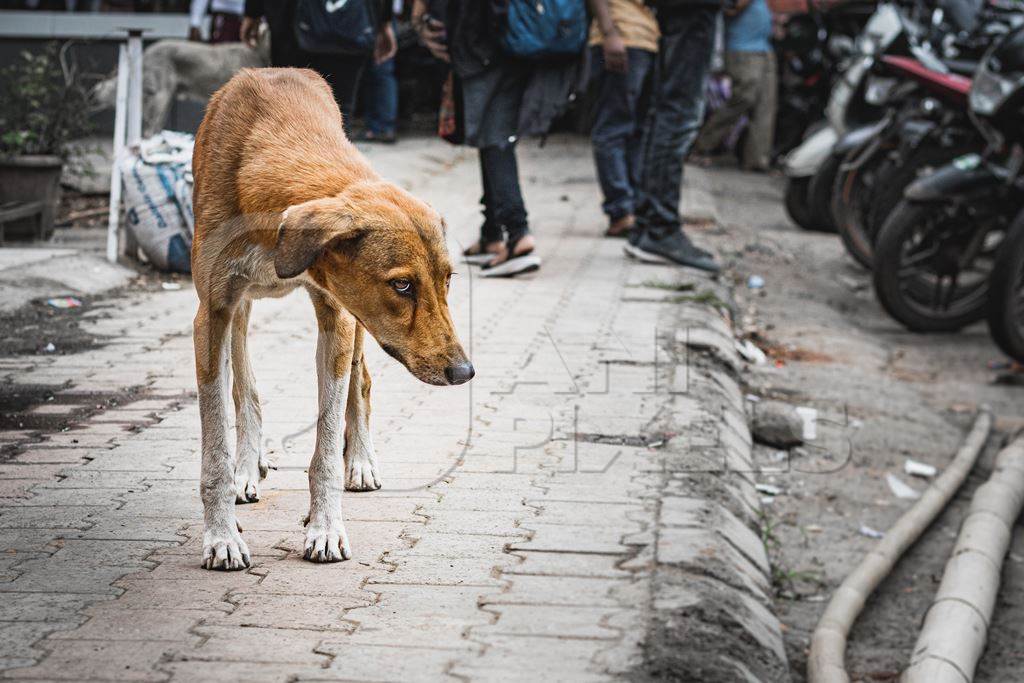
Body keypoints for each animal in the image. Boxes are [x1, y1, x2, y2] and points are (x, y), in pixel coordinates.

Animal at [191, 69, 471, 573]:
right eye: (403, 285)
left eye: (448, 280)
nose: (465, 372)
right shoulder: (213, 314)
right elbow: (216, 445)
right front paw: (221, 536)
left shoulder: (336, 313)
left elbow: (325, 445)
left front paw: (325, 528)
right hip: (241, 311)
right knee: (246, 389)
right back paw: (248, 467)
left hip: (354, 319)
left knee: (361, 383)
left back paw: (359, 461)